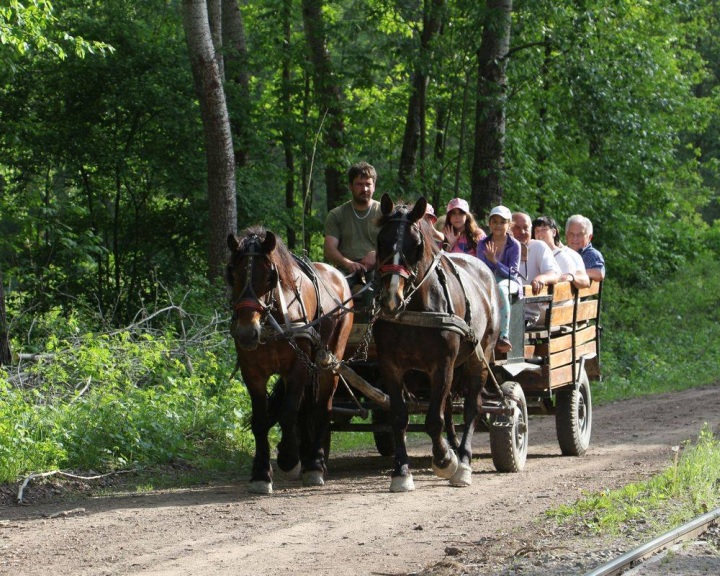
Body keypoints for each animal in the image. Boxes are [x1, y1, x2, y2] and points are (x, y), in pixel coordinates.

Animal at [222, 227, 352, 492]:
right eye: (234, 275)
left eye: (269, 278)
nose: (246, 333)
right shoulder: (252, 372)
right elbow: (260, 419)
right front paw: (261, 473)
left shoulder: (298, 368)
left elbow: (288, 412)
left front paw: (288, 458)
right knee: (307, 410)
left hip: (329, 362)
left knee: (322, 408)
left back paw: (315, 464)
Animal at [372, 194, 500, 490]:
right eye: (381, 241)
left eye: (416, 245)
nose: (391, 299)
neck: (415, 308)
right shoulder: (390, 366)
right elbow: (399, 416)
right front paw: (401, 471)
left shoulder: (442, 364)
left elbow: (433, 420)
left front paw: (445, 460)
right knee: (449, 405)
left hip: (480, 357)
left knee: (472, 408)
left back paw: (462, 461)